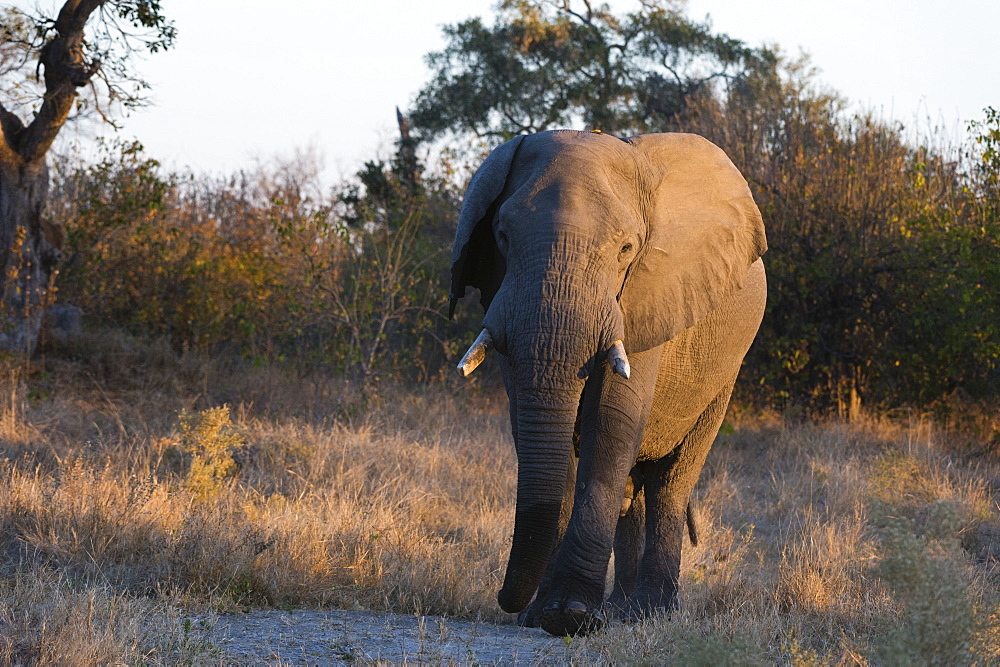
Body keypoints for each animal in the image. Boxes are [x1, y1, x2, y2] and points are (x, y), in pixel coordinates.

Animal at [452, 129, 764, 636]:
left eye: (626, 250)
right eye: (501, 235)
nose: (506, 601)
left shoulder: (648, 297)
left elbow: (611, 424)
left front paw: (569, 616)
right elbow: (535, 427)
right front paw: (545, 616)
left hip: (725, 375)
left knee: (669, 481)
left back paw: (649, 613)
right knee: (633, 490)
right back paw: (619, 611)